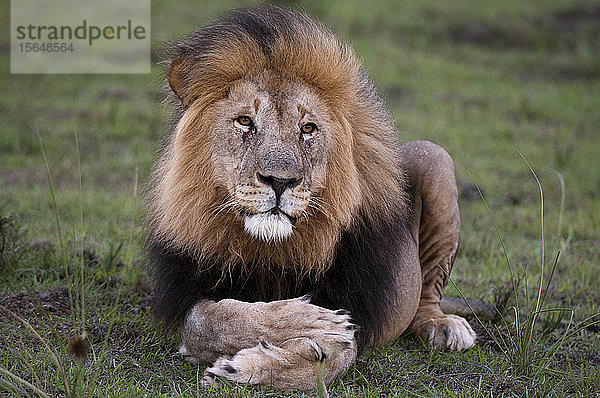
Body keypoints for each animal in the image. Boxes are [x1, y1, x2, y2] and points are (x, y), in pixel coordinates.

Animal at [145, 4, 474, 394]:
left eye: (307, 129)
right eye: (245, 122)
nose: (279, 180)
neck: (270, 249)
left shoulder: (355, 312)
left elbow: (333, 357)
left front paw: (249, 368)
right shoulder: (191, 291)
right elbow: (211, 320)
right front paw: (308, 321)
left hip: (434, 157)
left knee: (428, 294)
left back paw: (444, 326)